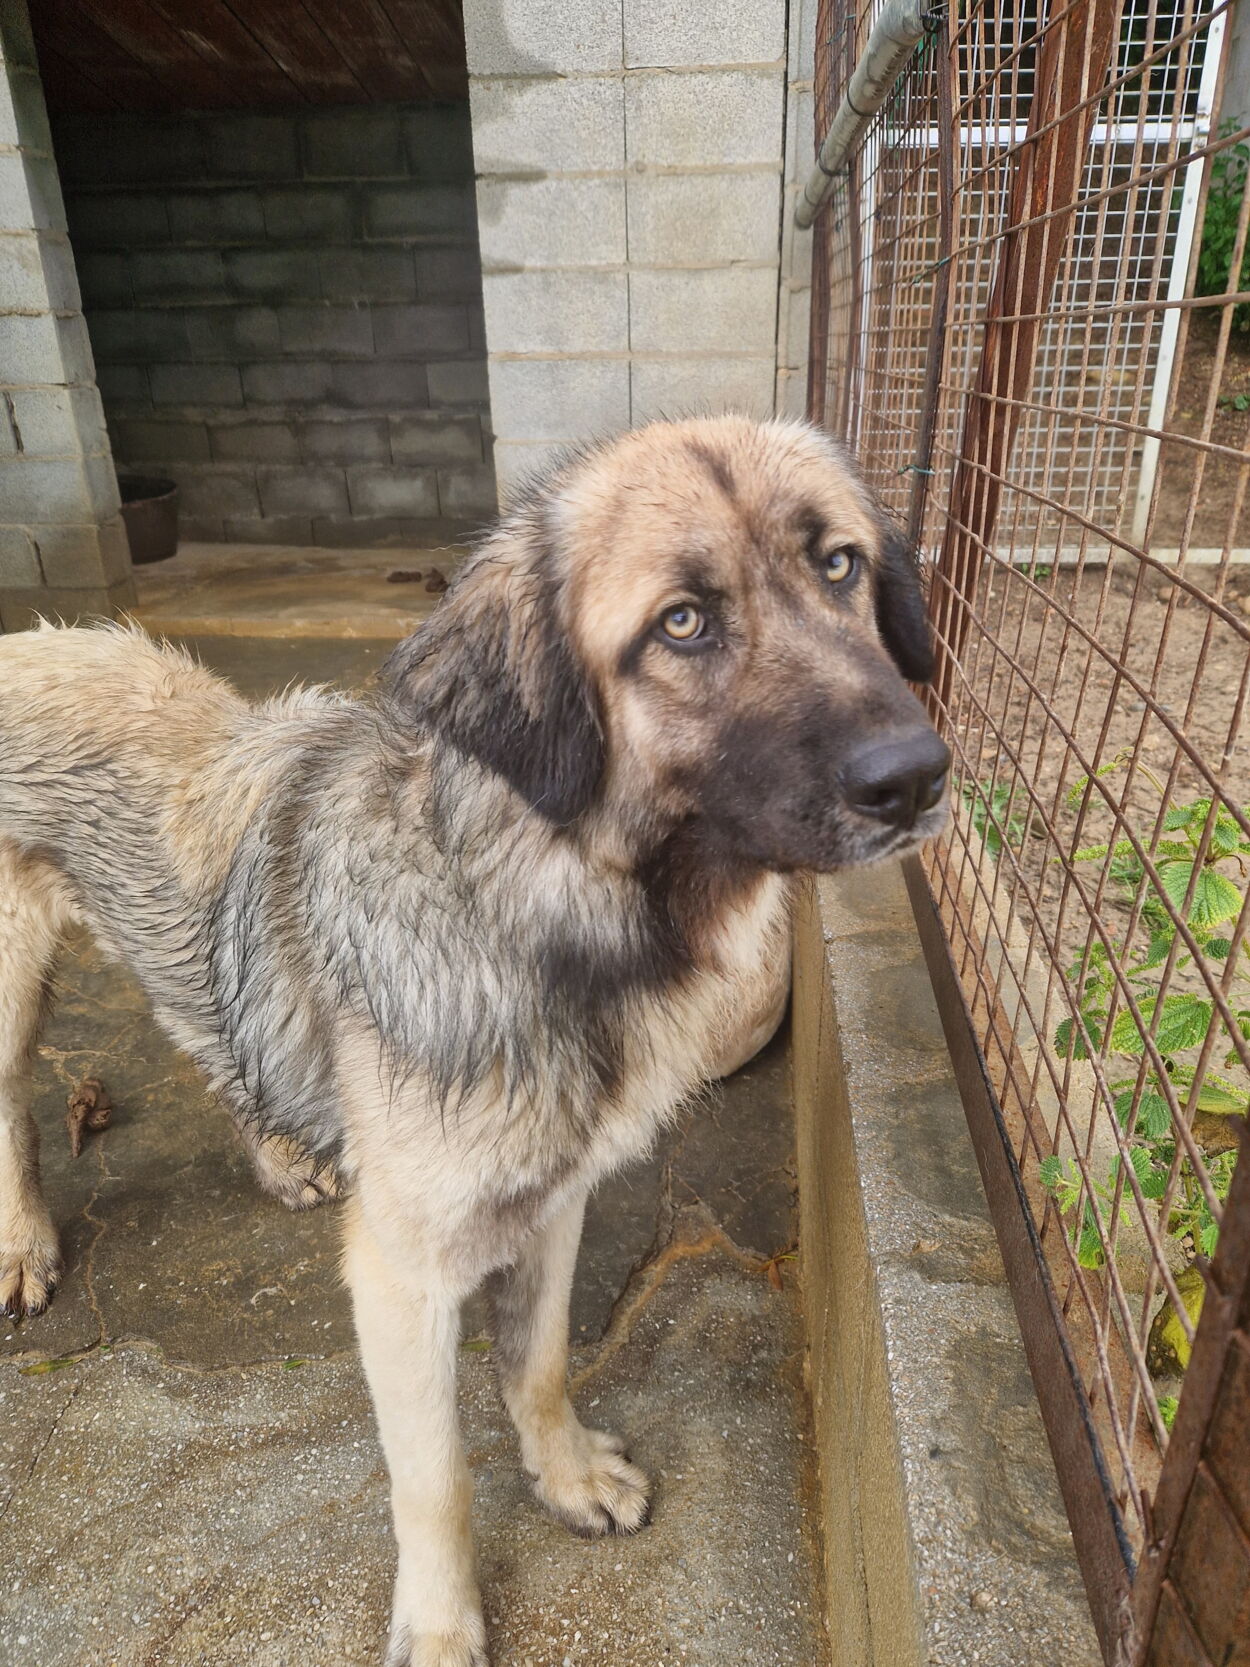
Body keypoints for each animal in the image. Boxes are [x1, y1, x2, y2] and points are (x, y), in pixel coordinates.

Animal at [0, 415, 949, 1666]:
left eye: (837, 563)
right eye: (680, 623)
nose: (917, 777)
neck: (533, 901)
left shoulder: (550, 1203)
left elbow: (537, 1365)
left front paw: (564, 1473)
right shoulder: (402, 1274)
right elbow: (435, 1477)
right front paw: (445, 1623)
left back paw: (277, 1153)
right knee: (12, 1106)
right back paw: (24, 1242)